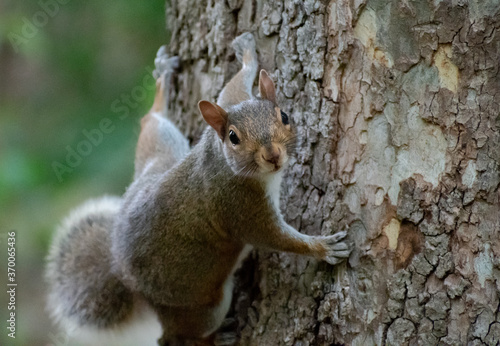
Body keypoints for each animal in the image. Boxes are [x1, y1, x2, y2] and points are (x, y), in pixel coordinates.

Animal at [47, 33, 352, 346]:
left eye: (285, 116)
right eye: (233, 137)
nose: (272, 155)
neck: (226, 162)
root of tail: (120, 268)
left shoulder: (232, 103)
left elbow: (231, 89)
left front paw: (246, 55)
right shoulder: (240, 208)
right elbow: (275, 238)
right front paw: (323, 247)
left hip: (163, 155)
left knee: (150, 122)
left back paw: (163, 75)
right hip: (203, 307)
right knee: (176, 336)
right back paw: (214, 338)